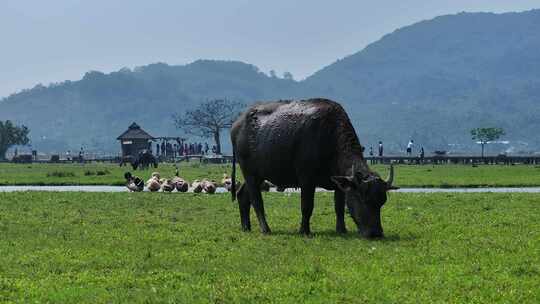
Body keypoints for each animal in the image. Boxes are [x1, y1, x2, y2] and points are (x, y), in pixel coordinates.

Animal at [231, 98, 396, 239]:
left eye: (381, 202)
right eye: (363, 198)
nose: (376, 233)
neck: (329, 137)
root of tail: (236, 125)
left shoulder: (339, 183)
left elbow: (339, 207)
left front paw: (341, 229)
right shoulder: (306, 180)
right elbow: (307, 206)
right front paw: (304, 230)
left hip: (259, 175)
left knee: (242, 195)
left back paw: (246, 227)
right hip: (250, 173)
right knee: (256, 200)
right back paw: (265, 229)